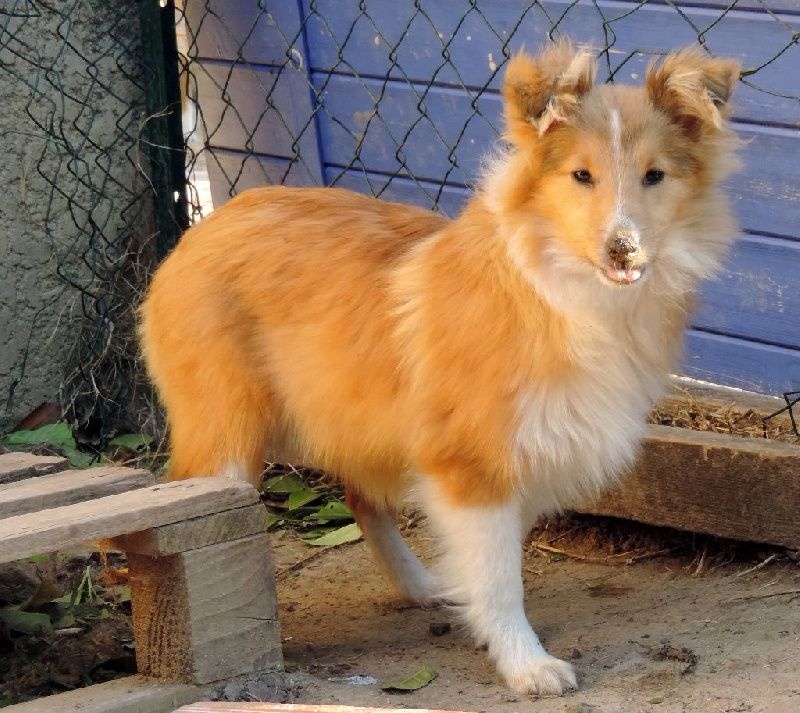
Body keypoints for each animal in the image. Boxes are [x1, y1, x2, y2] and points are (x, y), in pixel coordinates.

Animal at [140, 41, 740, 695]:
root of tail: (202, 226)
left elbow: (495, 566)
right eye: (581, 175)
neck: (555, 289)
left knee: (360, 494)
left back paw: (422, 585)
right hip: (225, 433)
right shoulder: (470, 466)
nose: (623, 249)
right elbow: (500, 581)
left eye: (655, 175)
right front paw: (527, 664)